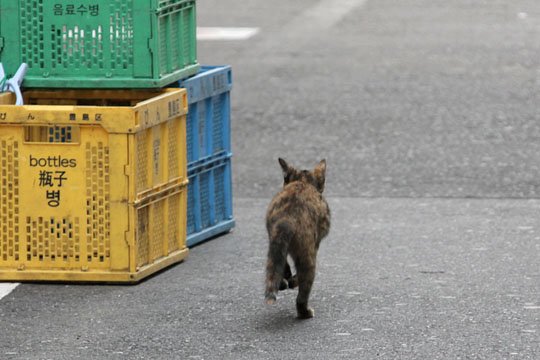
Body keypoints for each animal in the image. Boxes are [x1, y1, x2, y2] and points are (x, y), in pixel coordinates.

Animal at [264, 158, 332, 318]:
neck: (302, 182)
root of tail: (286, 221)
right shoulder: (316, 244)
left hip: (274, 243)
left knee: (277, 266)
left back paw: (283, 282)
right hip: (308, 256)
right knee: (302, 291)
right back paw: (305, 312)